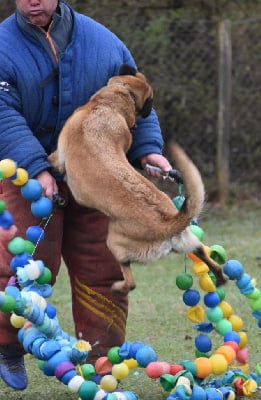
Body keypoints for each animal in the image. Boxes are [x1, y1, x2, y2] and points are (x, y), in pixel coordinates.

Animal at [47, 65, 226, 296]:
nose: (149, 112)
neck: (109, 104)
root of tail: (168, 222)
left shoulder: (58, 157)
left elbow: (51, 159)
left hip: (114, 241)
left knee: (130, 281)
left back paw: (117, 287)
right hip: (187, 241)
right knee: (206, 255)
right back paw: (220, 278)